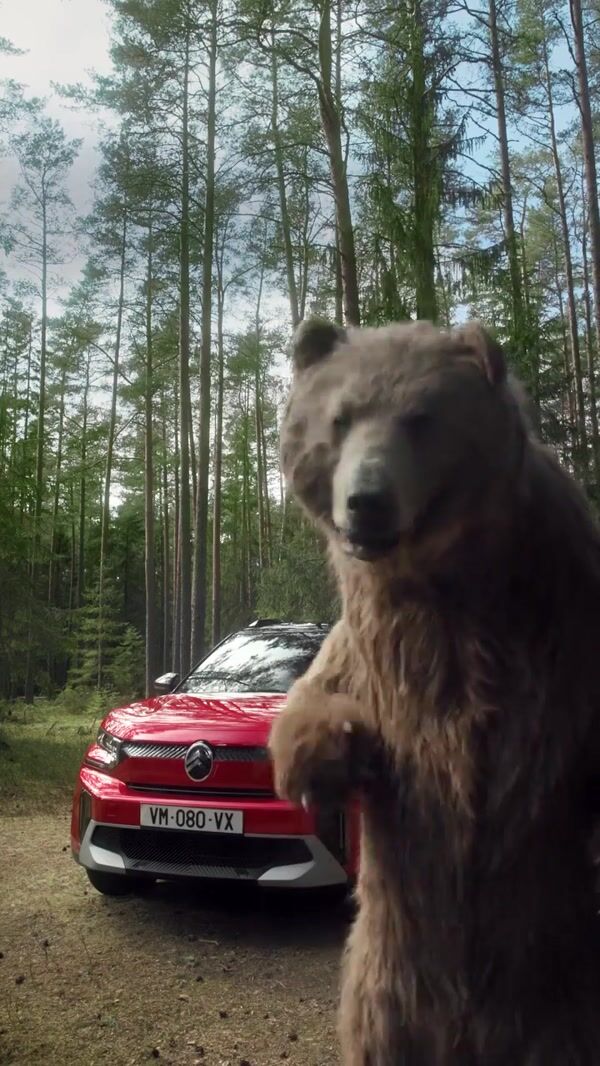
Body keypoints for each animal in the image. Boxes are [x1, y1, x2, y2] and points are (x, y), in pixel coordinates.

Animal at [269, 317, 600, 1065]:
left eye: (421, 418)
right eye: (340, 417)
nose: (366, 500)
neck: (446, 579)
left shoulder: (563, 615)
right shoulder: (375, 649)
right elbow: (317, 697)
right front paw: (327, 756)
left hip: (558, 987)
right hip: (384, 983)